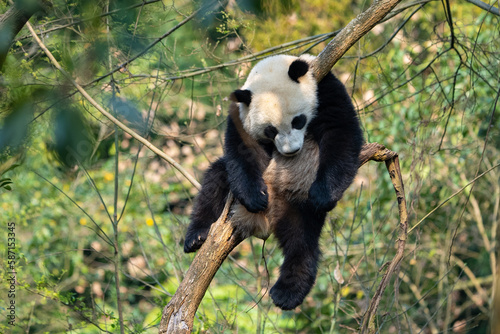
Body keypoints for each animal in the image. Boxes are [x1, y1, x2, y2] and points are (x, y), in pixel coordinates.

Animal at [184, 54, 364, 310]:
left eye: (298, 121)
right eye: (270, 130)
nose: (291, 151)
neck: (271, 68)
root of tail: (265, 223)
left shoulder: (326, 88)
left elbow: (340, 132)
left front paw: (323, 195)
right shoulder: (240, 114)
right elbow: (242, 151)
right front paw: (255, 197)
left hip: (297, 201)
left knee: (302, 241)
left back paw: (287, 293)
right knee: (215, 181)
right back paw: (196, 236)